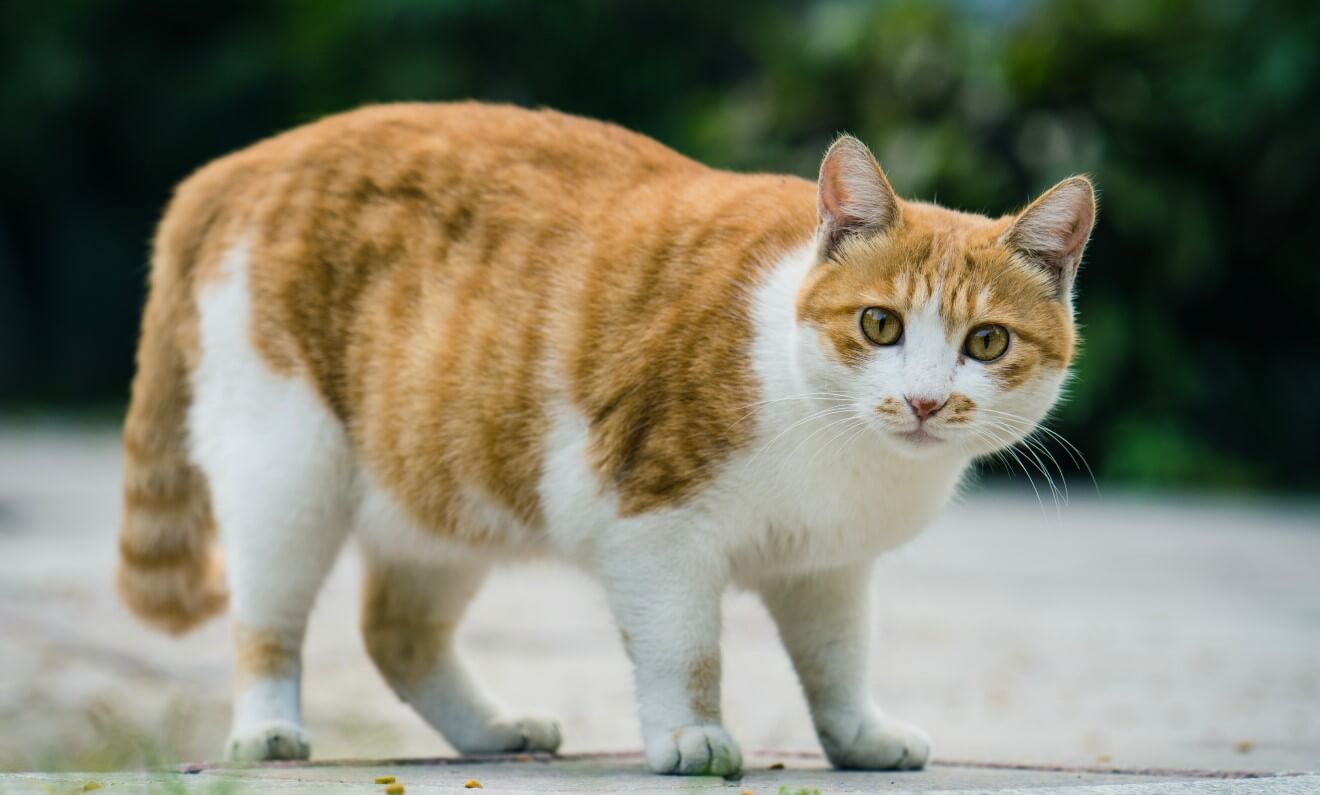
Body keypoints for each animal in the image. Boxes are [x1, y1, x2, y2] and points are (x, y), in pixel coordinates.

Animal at [118, 100, 1092, 771]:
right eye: (880, 325)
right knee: (268, 620)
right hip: (289, 472)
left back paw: (494, 729)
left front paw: (858, 733)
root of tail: (245, 161)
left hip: (444, 486)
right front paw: (692, 735)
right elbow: (685, 650)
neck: (839, 443)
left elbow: (838, 658)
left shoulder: (828, 564)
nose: (925, 402)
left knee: (397, 631)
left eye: (987, 342)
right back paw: (268, 728)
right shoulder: (656, 530)